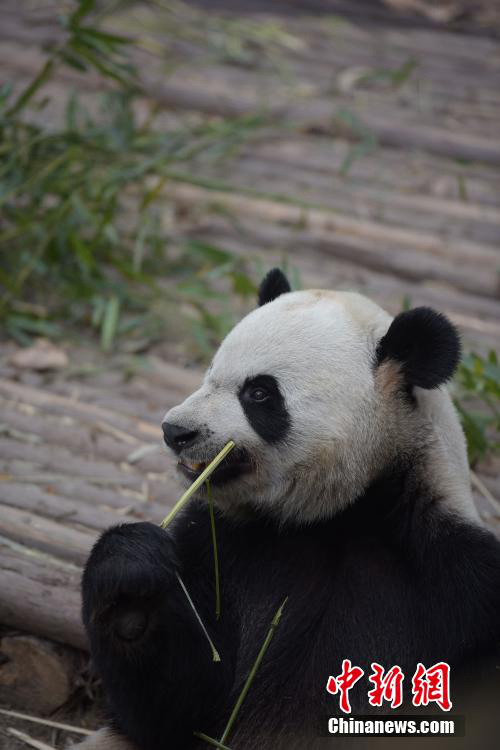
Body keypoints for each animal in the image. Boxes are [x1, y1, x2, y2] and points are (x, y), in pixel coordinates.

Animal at [75, 274, 500, 750]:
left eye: (259, 393)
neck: (335, 517)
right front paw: (130, 579)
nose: (175, 431)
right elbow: (175, 707)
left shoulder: (458, 581)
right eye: (210, 373)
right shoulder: (219, 543)